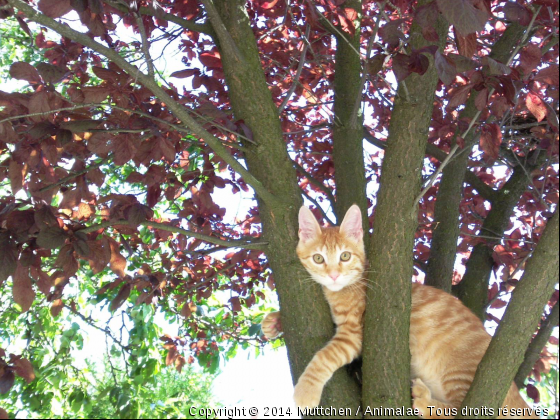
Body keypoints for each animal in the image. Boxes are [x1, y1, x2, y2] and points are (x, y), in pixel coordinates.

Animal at [260, 203, 536, 416]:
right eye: (319, 259)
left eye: (345, 256)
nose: (334, 275)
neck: (341, 290)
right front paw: (274, 321)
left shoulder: (355, 334)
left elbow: (324, 357)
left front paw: (306, 391)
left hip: (461, 374)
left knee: (466, 411)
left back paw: (425, 401)